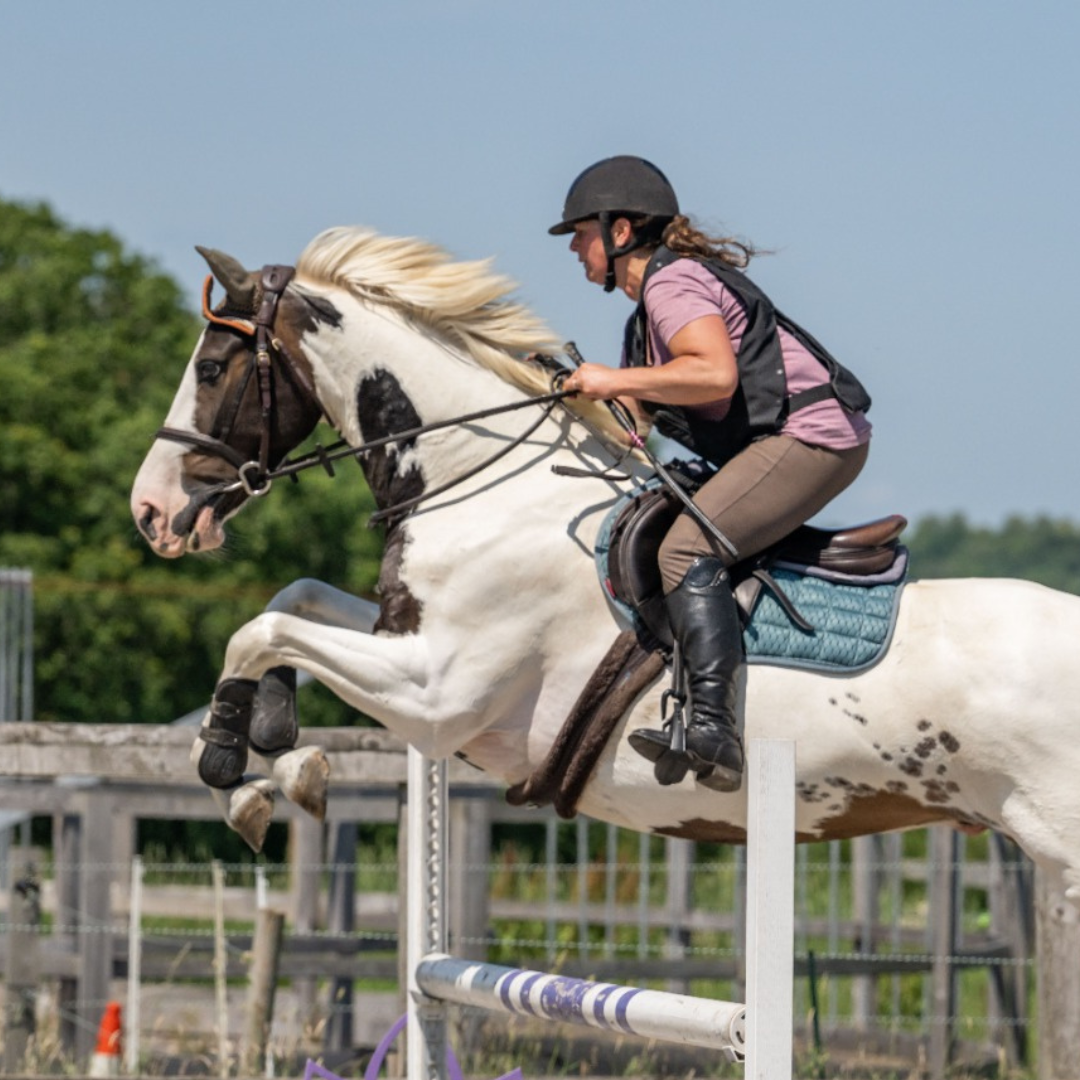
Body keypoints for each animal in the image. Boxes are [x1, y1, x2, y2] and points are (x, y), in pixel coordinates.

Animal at [131, 226, 1080, 905]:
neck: (483, 483)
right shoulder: (406, 641)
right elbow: (293, 600)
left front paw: (234, 764)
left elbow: (261, 628)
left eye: (210, 367)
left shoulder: (434, 693)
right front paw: (279, 751)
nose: (149, 512)